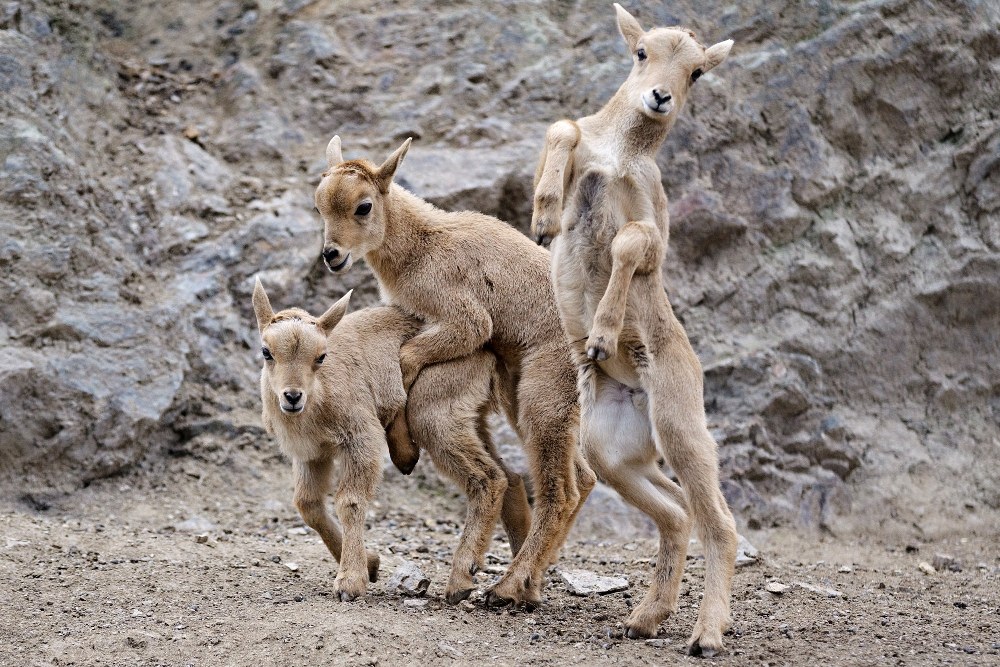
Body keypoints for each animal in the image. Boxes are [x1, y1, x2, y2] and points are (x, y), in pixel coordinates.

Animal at [250, 280, 532, 604]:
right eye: (266, 351)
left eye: (321, 356)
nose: (293, 397)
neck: (318, 399)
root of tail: (489, 351)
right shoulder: (312, 454)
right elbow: (307, 504)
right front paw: (371, 564)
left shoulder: (361, 438)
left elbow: (350, 501)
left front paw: (350, 581)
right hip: (472, 420)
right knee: (511, 478)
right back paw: (524, 587)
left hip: (437, 414)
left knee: (488, 478)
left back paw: (462, 578)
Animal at [314, 140, 592, 612]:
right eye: (319, 205)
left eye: (363, 206)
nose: (332, 255)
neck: (422, 249)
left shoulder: (465, 322)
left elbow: (406, 361)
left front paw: (405, 453)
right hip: (528, 400)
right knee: (583, 478)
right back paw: (529, 586)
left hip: (544, 396)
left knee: (561, 492)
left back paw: (501, 587)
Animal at [528, 3, 740, 656]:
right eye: (641, 51)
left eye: (697, 70)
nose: (660, 97)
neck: (620, 158)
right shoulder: (578, 148)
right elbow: (563, 127)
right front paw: (545, 215)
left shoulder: (653, 224)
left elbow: (629, 241)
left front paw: (601, 335)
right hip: (611, 453)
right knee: (676, 513)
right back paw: (643, 618)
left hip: (680, 427)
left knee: (720, 523)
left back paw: (705, 634)